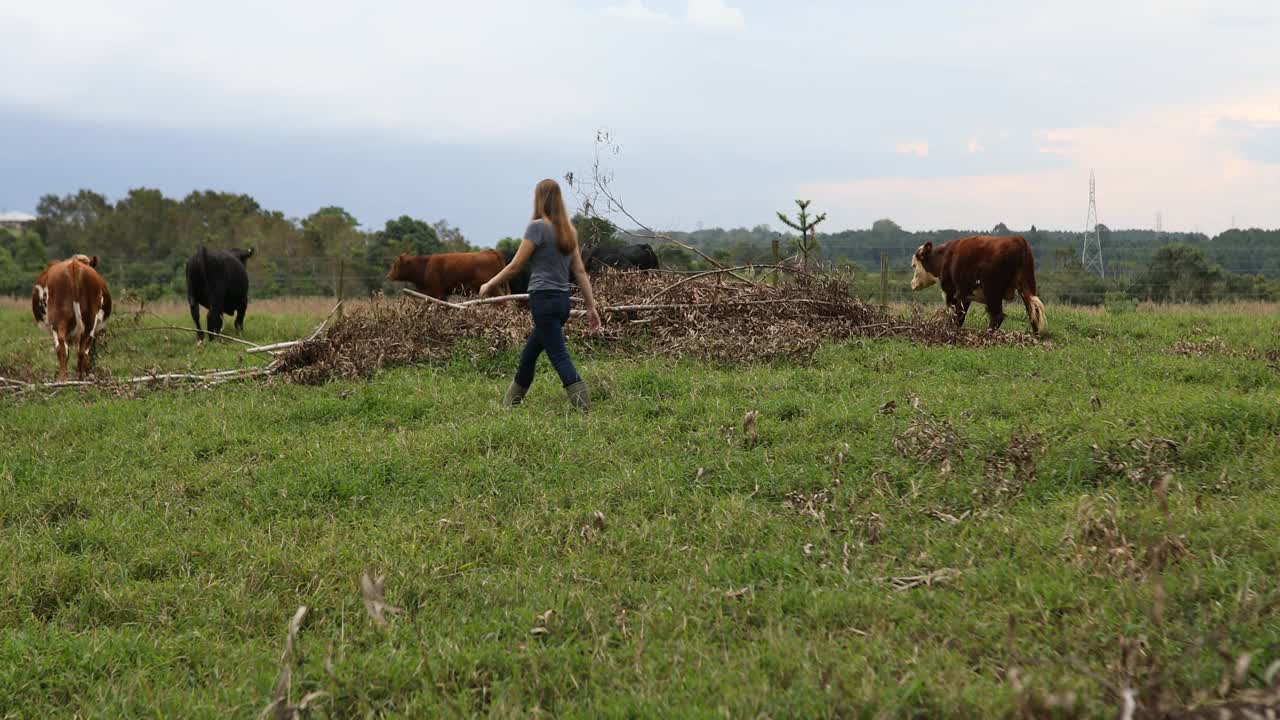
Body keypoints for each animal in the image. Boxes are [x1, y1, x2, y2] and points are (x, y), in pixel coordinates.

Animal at [911, 235, 1039, 335]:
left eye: (914, 265)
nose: (912, 284)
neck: (943, 257)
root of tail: (1017, 239)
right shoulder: (965, 294)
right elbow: (960, 316)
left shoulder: (952, 292)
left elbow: (955, 315)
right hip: (1026, 285)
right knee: (1033, 310)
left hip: (992, 290)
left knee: (997, 315)